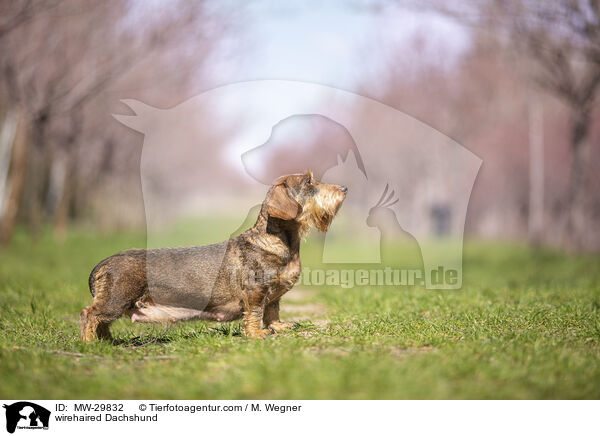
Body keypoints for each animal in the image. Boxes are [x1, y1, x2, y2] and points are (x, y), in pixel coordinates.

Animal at [79, 170, 346, 340]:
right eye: (308, 181)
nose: (344, 188)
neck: (275, 241)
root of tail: (104, 263)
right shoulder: (256, 292)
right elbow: (256, 313)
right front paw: (257, 334)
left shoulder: (273, 297)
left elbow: (272, 312)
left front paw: (279, 327)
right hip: (116, 300)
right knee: (89, 315)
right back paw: (91, 345)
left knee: (102, 322)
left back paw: (108, 342)